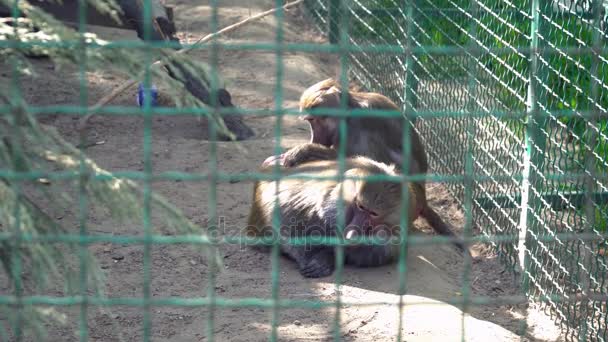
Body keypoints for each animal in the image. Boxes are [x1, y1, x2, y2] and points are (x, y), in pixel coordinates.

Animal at [245, 157, 416, 278]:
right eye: (361, 207)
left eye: (373, 214)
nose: (353, 233)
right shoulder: (306, 202)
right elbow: (282, 218)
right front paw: (315, 259)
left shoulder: (389, 243)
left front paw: (326, 257)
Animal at [262, 79, 466, 252]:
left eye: (315, 120)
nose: (315, 138)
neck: (350, 111)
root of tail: (423, 197)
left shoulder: (360, 125)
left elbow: (374, 163)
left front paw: (302, 151)